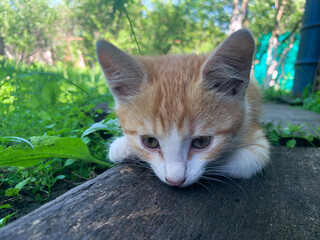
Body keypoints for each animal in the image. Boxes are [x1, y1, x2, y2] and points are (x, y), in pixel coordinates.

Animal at [96, 29, 268, 188]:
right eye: (150, 141)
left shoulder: (258, 146)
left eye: (201, 142)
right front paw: (124, 146)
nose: (175, 181)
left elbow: (242, 165)